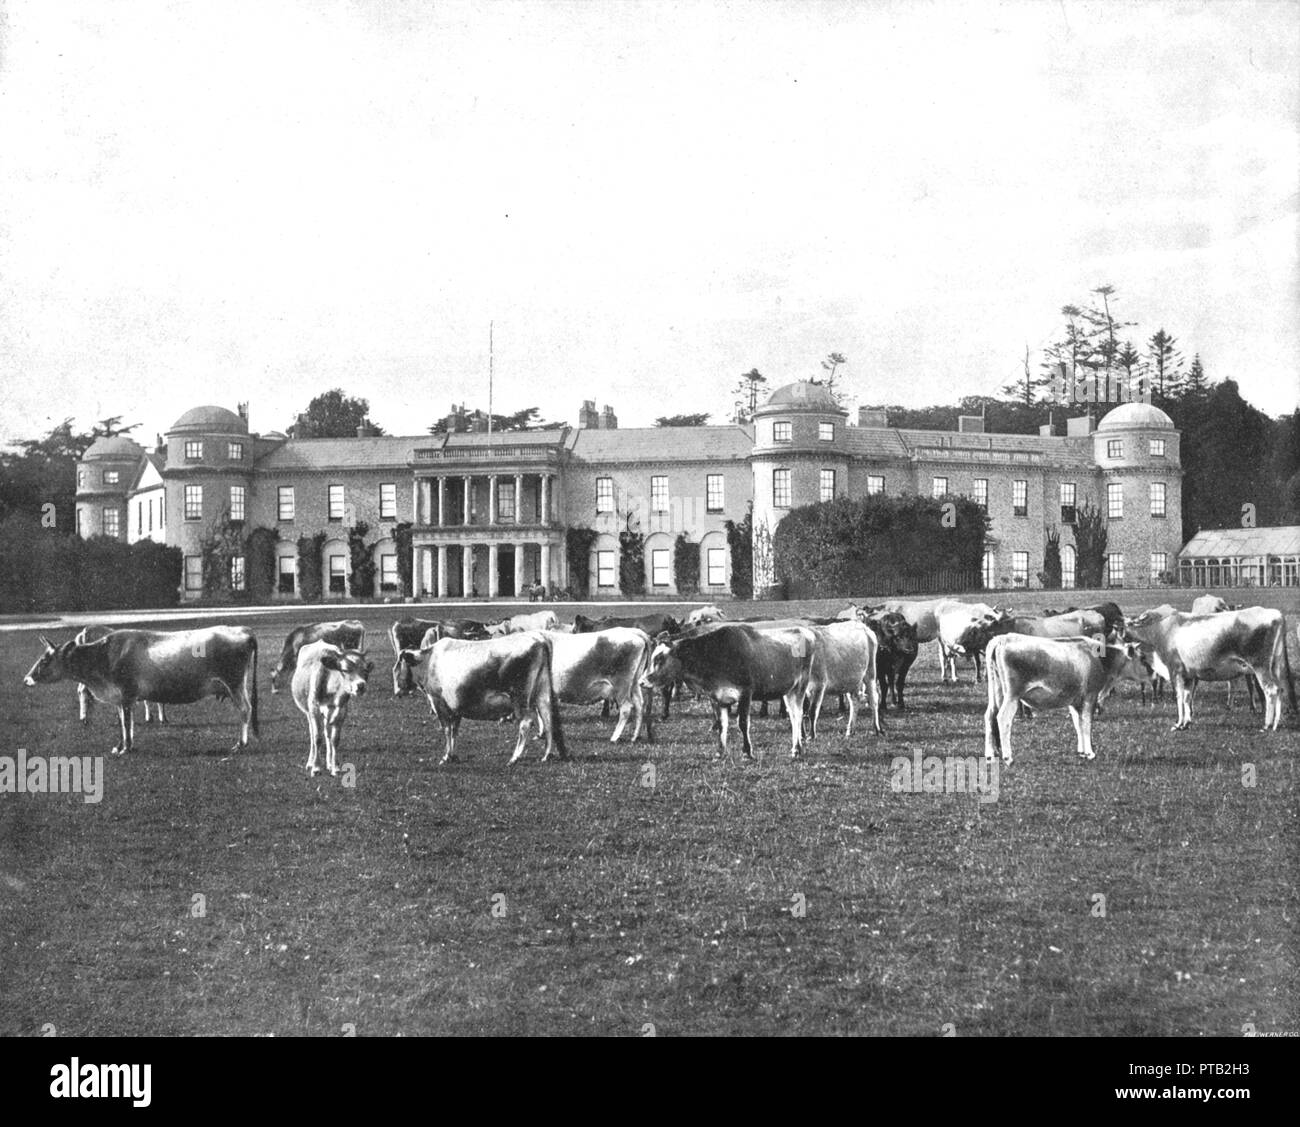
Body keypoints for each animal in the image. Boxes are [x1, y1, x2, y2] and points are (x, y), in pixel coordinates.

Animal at [292, 644, 374, 774]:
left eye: (365, 670)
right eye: (345, 670)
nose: (361, 685)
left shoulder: (341, 711)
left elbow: (334, 739)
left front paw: (334, 767)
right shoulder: (314, 709)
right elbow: (317, 738)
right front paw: (316, 767)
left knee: (327, 734)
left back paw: (329, 763)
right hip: (308, 712)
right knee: (312, 735)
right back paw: (310, 763)